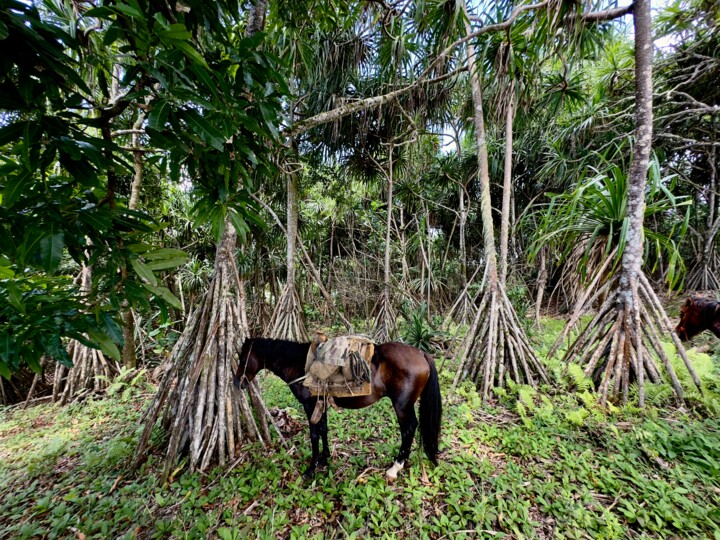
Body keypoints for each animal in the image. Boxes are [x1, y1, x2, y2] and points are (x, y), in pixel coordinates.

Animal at [233, 338, 442, 480]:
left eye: (243, 358)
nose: (237, 383)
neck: (300, 365)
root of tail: (421, 353)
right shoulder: (320, 405)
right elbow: (324, 429)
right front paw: (325, 459)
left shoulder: (309, 405)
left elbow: (314, 435)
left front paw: (312, 468)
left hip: (402, 406)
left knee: (408, 429)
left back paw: (395, 468)